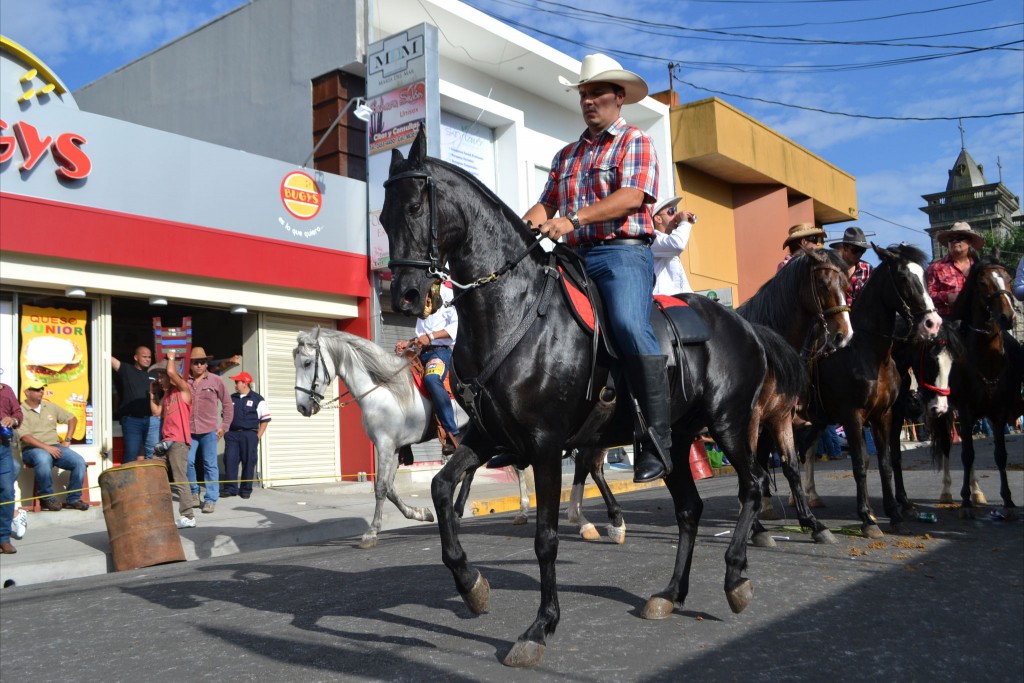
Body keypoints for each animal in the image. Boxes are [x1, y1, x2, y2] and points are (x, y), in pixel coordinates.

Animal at [382, 129, 798, 667]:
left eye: (414, 206)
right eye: (382, 217)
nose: (406, 297)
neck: (513, 308)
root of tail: (744, 324)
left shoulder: (544, 444)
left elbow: (545, 537)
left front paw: (540, 627)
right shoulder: (489, 435)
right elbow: (440, 489)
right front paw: (471, 584)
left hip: (729, 423)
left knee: (753, 486)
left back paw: (734, 577)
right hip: (676, 440)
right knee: (690, 508)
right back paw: (670, 594)